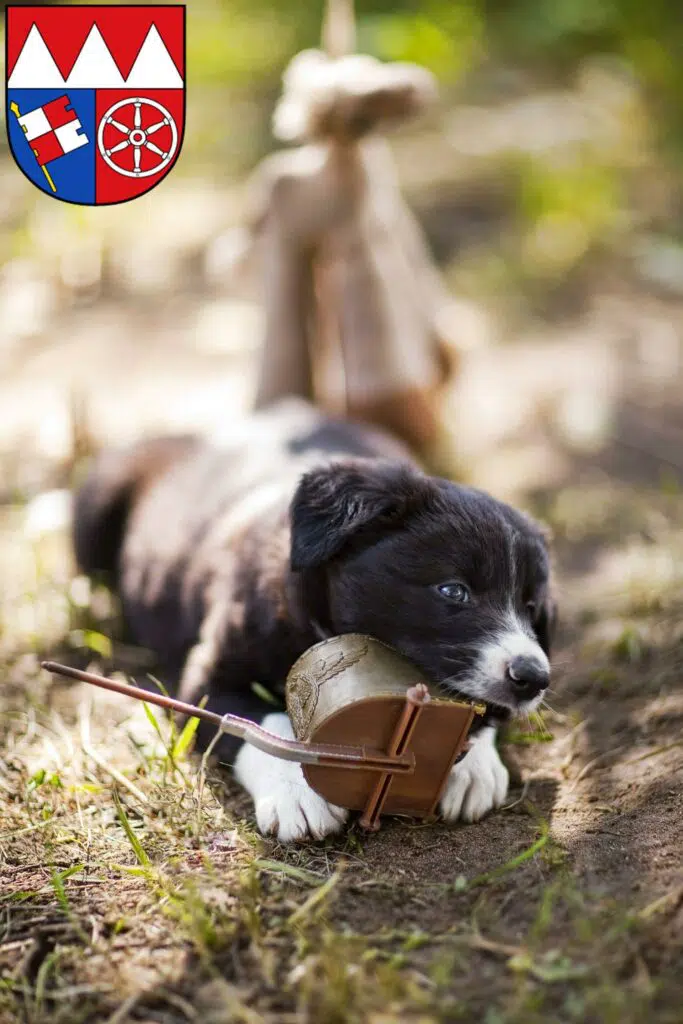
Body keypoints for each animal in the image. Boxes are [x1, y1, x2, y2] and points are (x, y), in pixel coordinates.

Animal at [73, 399, 557, 839]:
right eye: (453, 590)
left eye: (532, 607)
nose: (534, 678)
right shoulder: (207, 677)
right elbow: (260, 724)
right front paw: (296, 793)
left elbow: (484, 714)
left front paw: (475, 768)